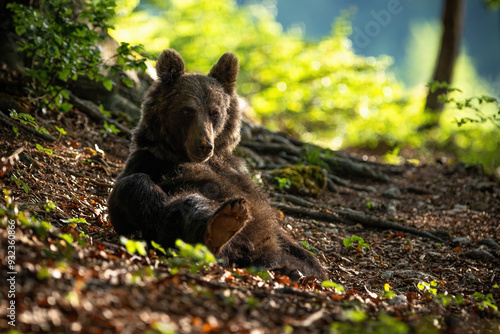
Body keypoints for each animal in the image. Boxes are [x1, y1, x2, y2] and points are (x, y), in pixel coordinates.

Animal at [107, 49, 326, 280]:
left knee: (303, 259)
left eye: (215, 112)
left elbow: (286, 236)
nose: (205, 145)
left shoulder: (236, 172)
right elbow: (137, 187)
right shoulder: (149, 160)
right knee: (151, 196)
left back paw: (290, 269)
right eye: (187, 110)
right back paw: (222, 225)